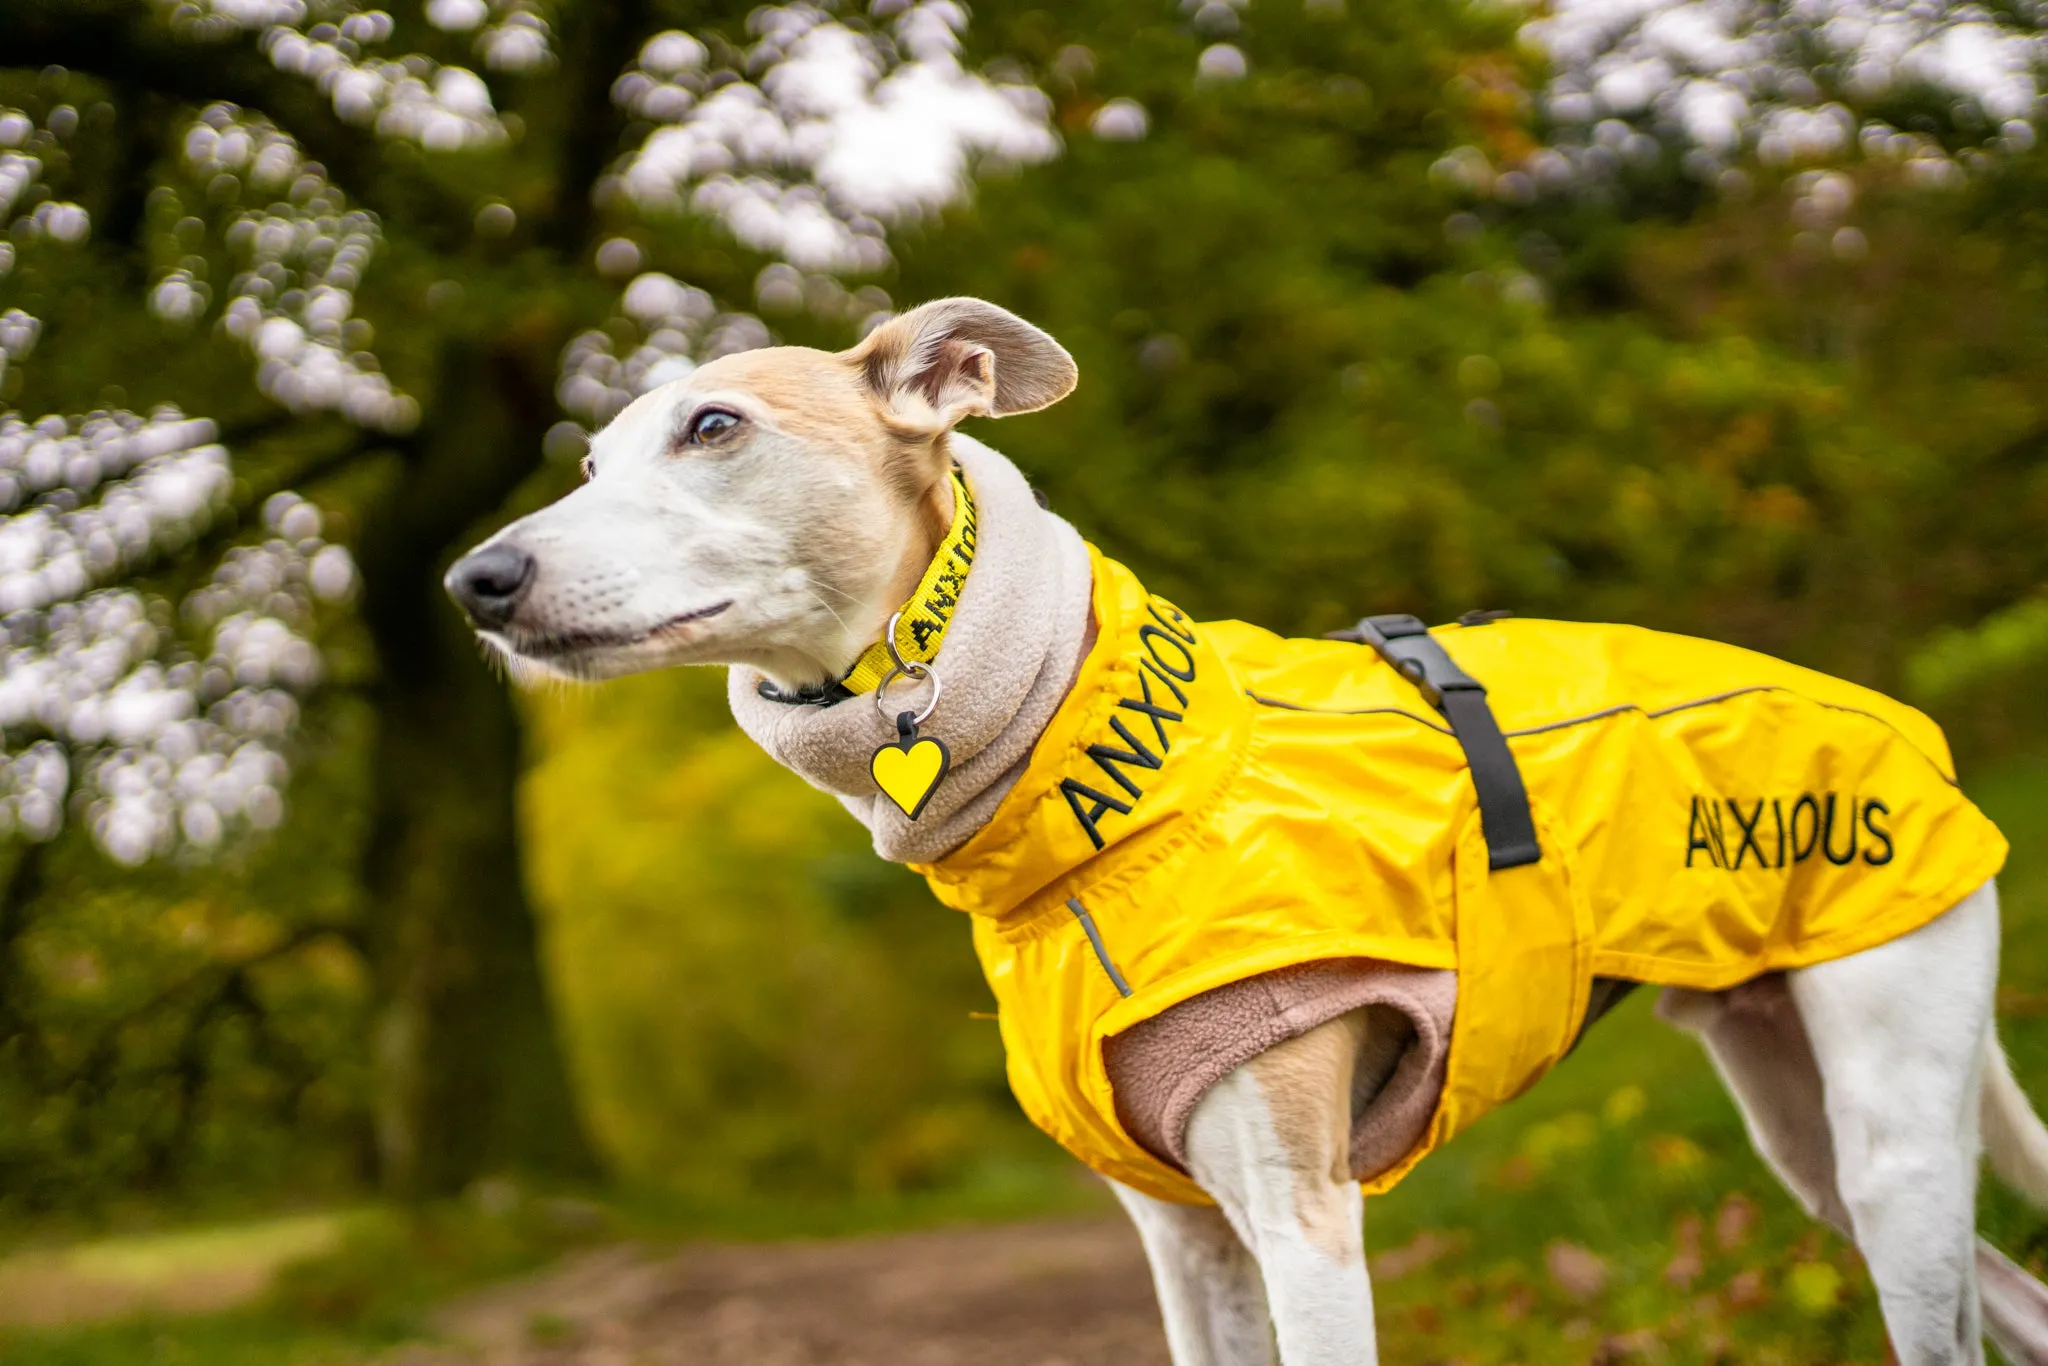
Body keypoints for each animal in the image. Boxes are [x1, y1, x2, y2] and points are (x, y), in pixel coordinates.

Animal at [452, 301, 2048, 1366]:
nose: (479, 578)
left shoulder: (1304, 1218)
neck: (1098, 794)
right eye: (586, 465)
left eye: (716, 426)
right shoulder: (1184, 1236)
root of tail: (1903, 721)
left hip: (1891, 1121)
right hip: (1802, 1128)